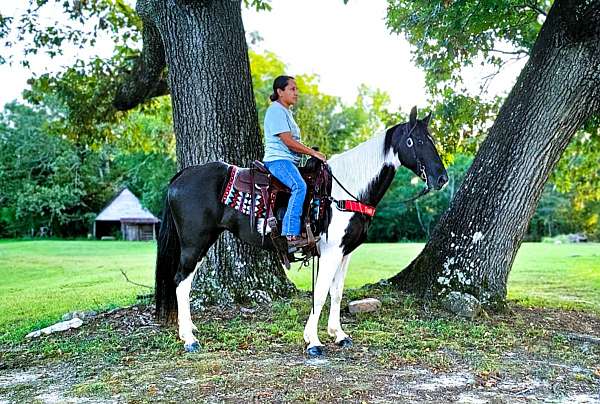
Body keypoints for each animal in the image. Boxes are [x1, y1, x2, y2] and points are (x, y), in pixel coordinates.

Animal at [157, 106, 448, 356]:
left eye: (431, 139)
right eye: (415, 141)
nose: (442, 178)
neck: (343, 193)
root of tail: (181, 175)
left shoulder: (345, 252)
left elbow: (336, 292)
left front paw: (339, 334)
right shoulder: (330, 252)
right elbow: (320, 293)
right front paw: (313, 341)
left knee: (185, 282)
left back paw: (188, 331)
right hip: (195, 243)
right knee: (181, 281)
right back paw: (189, 339)